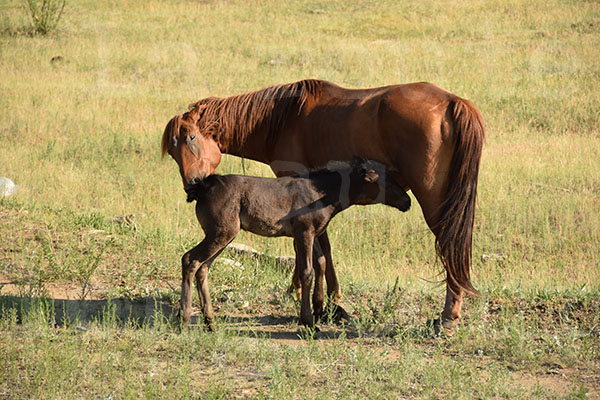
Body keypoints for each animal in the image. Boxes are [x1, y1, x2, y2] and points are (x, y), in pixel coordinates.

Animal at [180, 158, 410, 330]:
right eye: (384, 180)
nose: (407, 202)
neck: (324, 194)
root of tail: (201, 189)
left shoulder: (313, 233)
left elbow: (320, 262)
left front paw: (318, 309)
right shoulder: (304, 232)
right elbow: (307, 271)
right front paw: (308, 321)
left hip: (223, 235)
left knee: (203, 268)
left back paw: (210, 322)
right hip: (221, 232)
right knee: (190, 259)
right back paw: (184, 319)